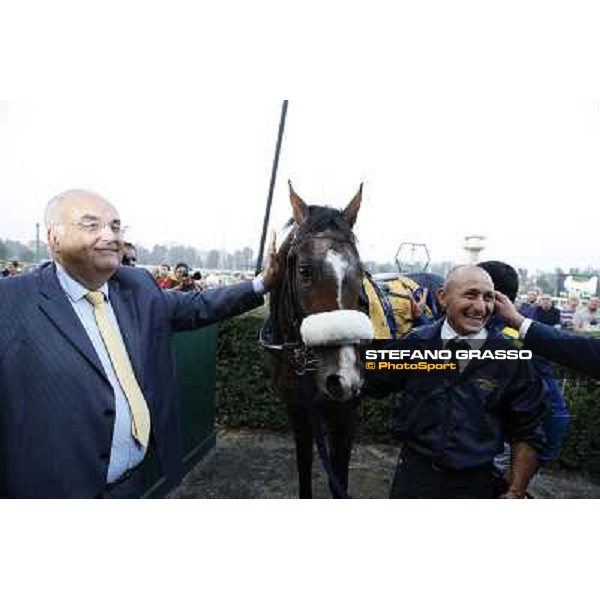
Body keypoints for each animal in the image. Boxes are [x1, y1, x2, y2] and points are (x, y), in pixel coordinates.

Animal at [262, 182, 370, 496]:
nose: (343, 377)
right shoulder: (298, 411)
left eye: (360, 270)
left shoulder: (345, 413)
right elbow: (304, 471)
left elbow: (338, 483)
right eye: (304, 271)